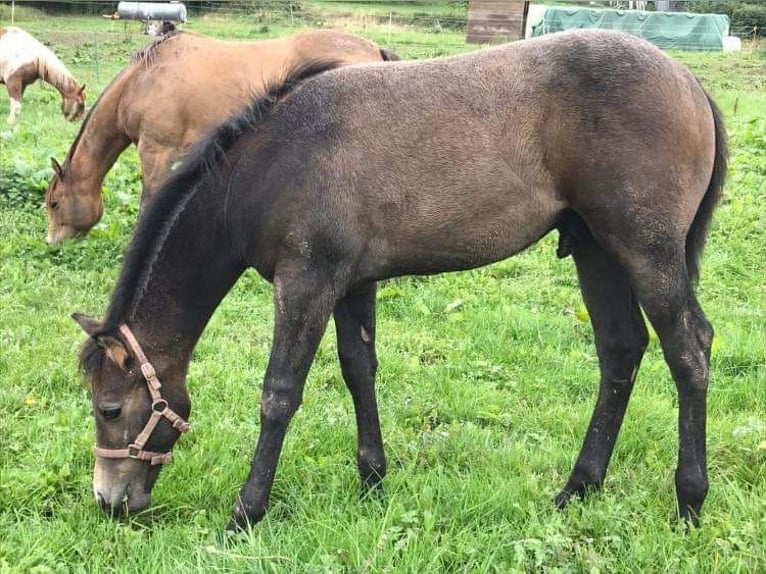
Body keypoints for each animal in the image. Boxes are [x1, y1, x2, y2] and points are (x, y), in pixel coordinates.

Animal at [46, 30, 402, 244]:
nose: (52, 242)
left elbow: (149, 199)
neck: (142, 80)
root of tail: (375, 50)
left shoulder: (156, 149)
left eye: (54, 203)